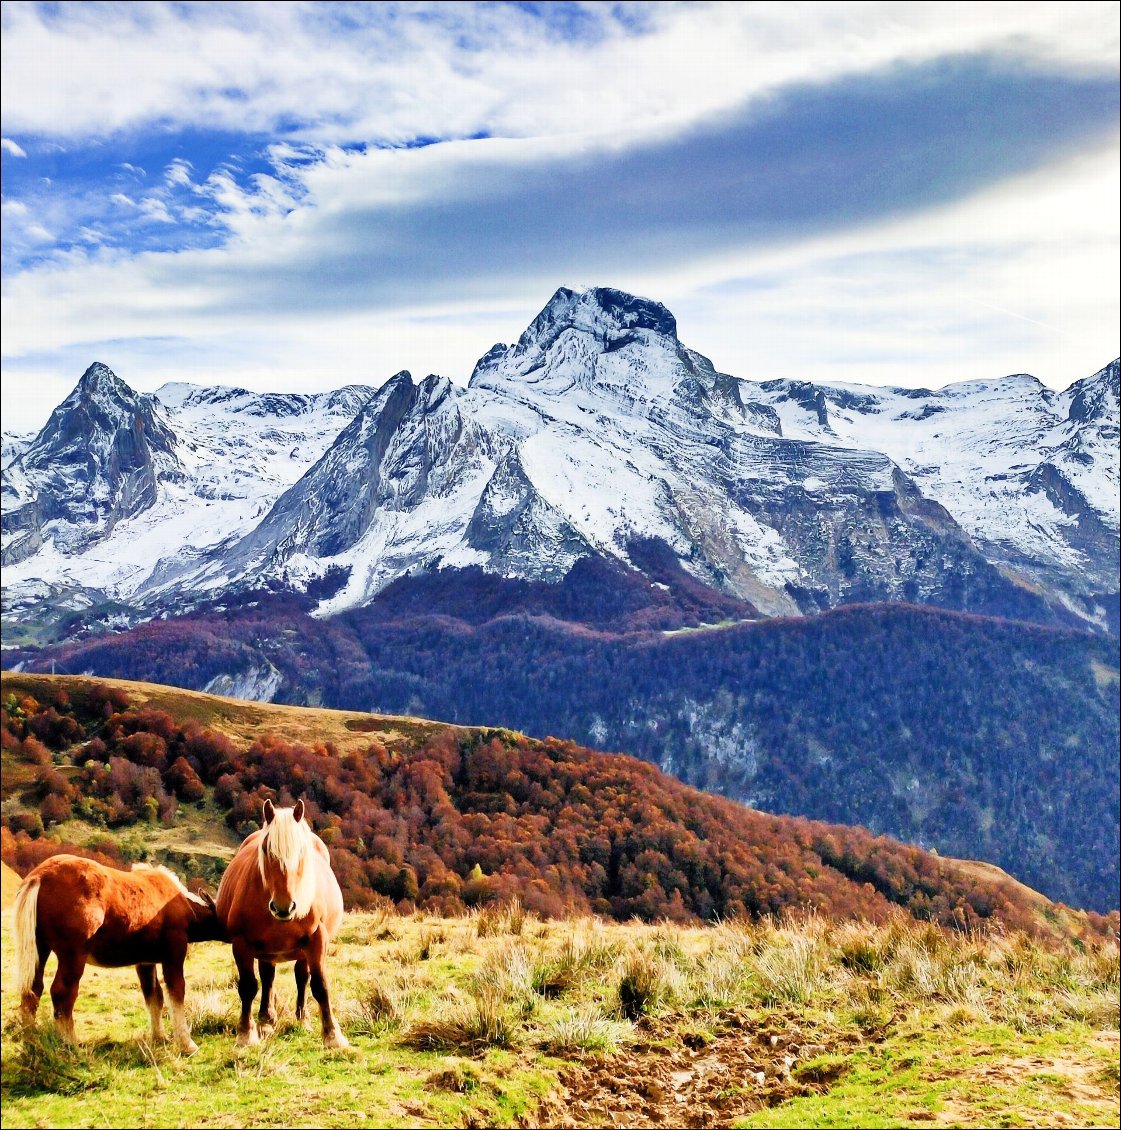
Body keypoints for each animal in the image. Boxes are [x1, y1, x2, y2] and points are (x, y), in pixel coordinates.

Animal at [12, 849, 223, 1053]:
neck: (179, 902)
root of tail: (40, 876)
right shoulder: (174, 954)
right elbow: (176, 994)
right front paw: (187, 1044)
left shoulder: (145, 963)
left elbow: (154, 996)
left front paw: (159, 1037)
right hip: (73, 956)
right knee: (62, 992)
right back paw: (70, 1043)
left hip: (40, 949)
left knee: (32, 990)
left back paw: (31, 1043)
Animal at [213, 795, 345, 1048]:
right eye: (266, 849)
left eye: (301, 850)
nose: (284, 907)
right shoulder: (241, 944)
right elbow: (248, 987)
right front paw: (246, 1034)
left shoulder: (317, 940)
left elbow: (320, 985)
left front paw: (333, 1035)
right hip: (267, 951)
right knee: (267, 978)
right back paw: (266, 1021)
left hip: (302, 952)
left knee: (302, 978)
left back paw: (302, 1020)